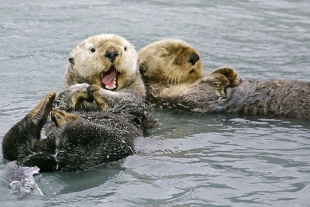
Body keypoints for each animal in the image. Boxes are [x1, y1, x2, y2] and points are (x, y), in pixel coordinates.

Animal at [139, 39, 310, 119]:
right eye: (166, 54)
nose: (194, 56)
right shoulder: (167, 96)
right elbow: (199, 93)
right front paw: (221, 77)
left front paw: (230, 73)